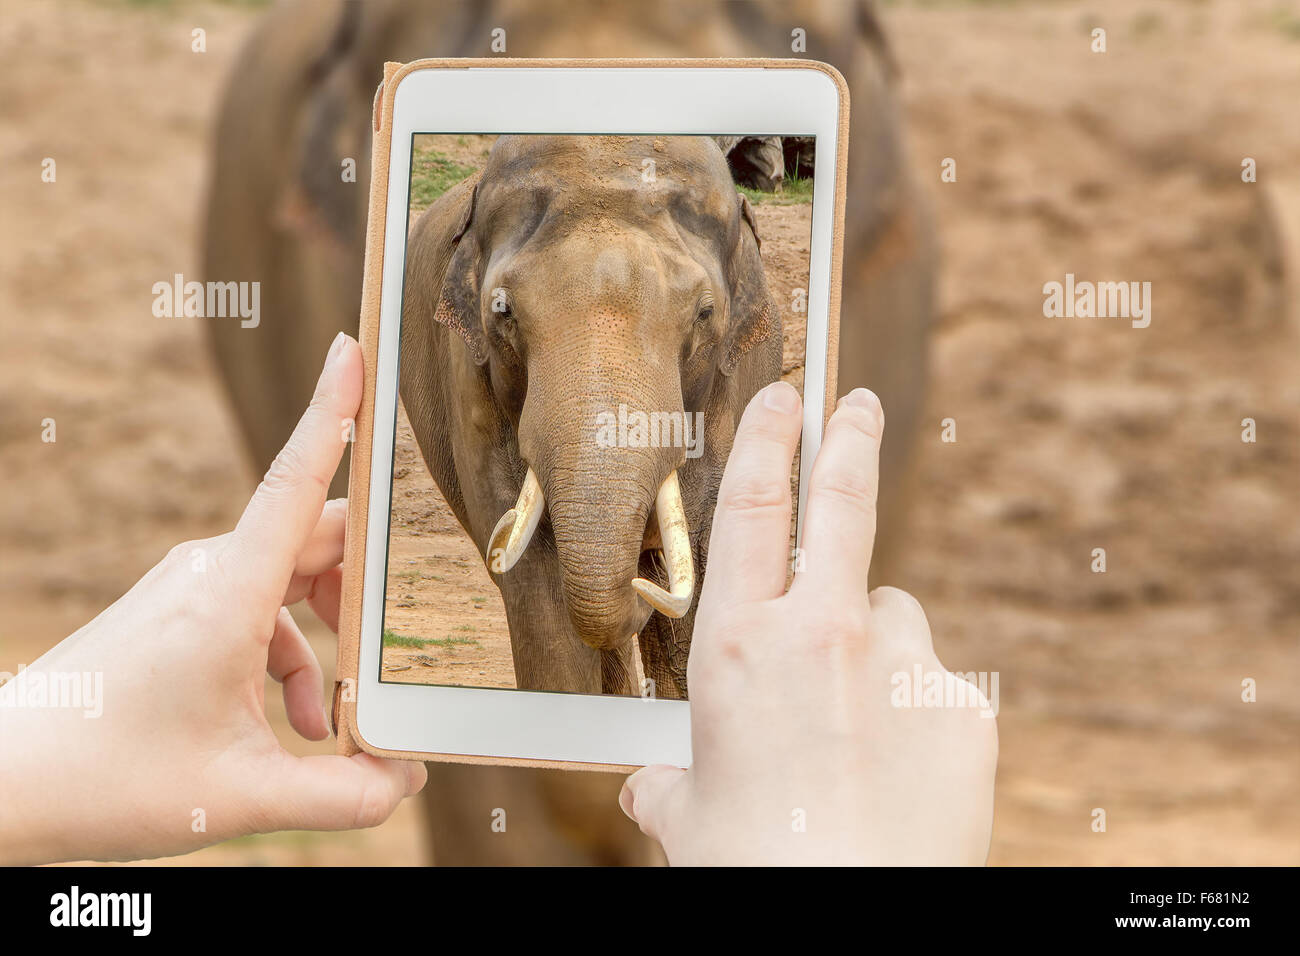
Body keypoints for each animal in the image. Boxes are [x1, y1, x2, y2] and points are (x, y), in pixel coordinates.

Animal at [400, 134, 774, 697]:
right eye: (503, 311)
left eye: (705, 314)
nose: (640, 583)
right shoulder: (470, 380)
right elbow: (535, 583)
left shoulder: (731, 388)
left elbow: (703, 558)